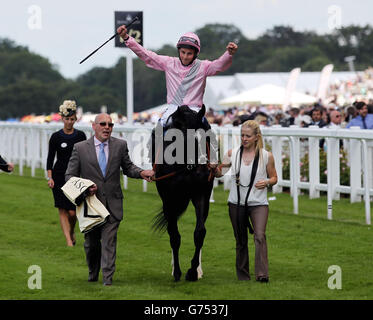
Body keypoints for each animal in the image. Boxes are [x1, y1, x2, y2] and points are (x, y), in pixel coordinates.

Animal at [150, 105, 217, 282]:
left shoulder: (201, 195)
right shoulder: (169, 199)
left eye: (206, 137)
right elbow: (174, 235)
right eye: (189, 138)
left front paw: (193, 271)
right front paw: (177, 271)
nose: (204, 170)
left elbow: (200, 232)